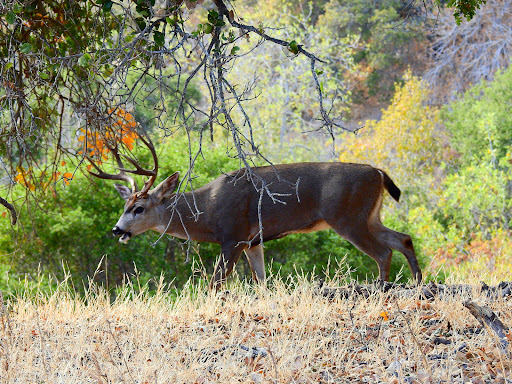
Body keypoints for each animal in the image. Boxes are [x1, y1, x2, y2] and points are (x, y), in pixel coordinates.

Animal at [89, 134, 424, 288]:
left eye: (139, 208)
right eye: (124, 206)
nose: (118, 230)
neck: (206, 212)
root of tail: (378, 172)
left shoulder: (233, 235)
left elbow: (216, 282)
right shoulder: (253, 242)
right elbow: (262, 281)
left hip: (347, 217)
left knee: (383, 251)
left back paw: (383, 287)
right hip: (370, 215)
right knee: (403, 238)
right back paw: (419, 282)